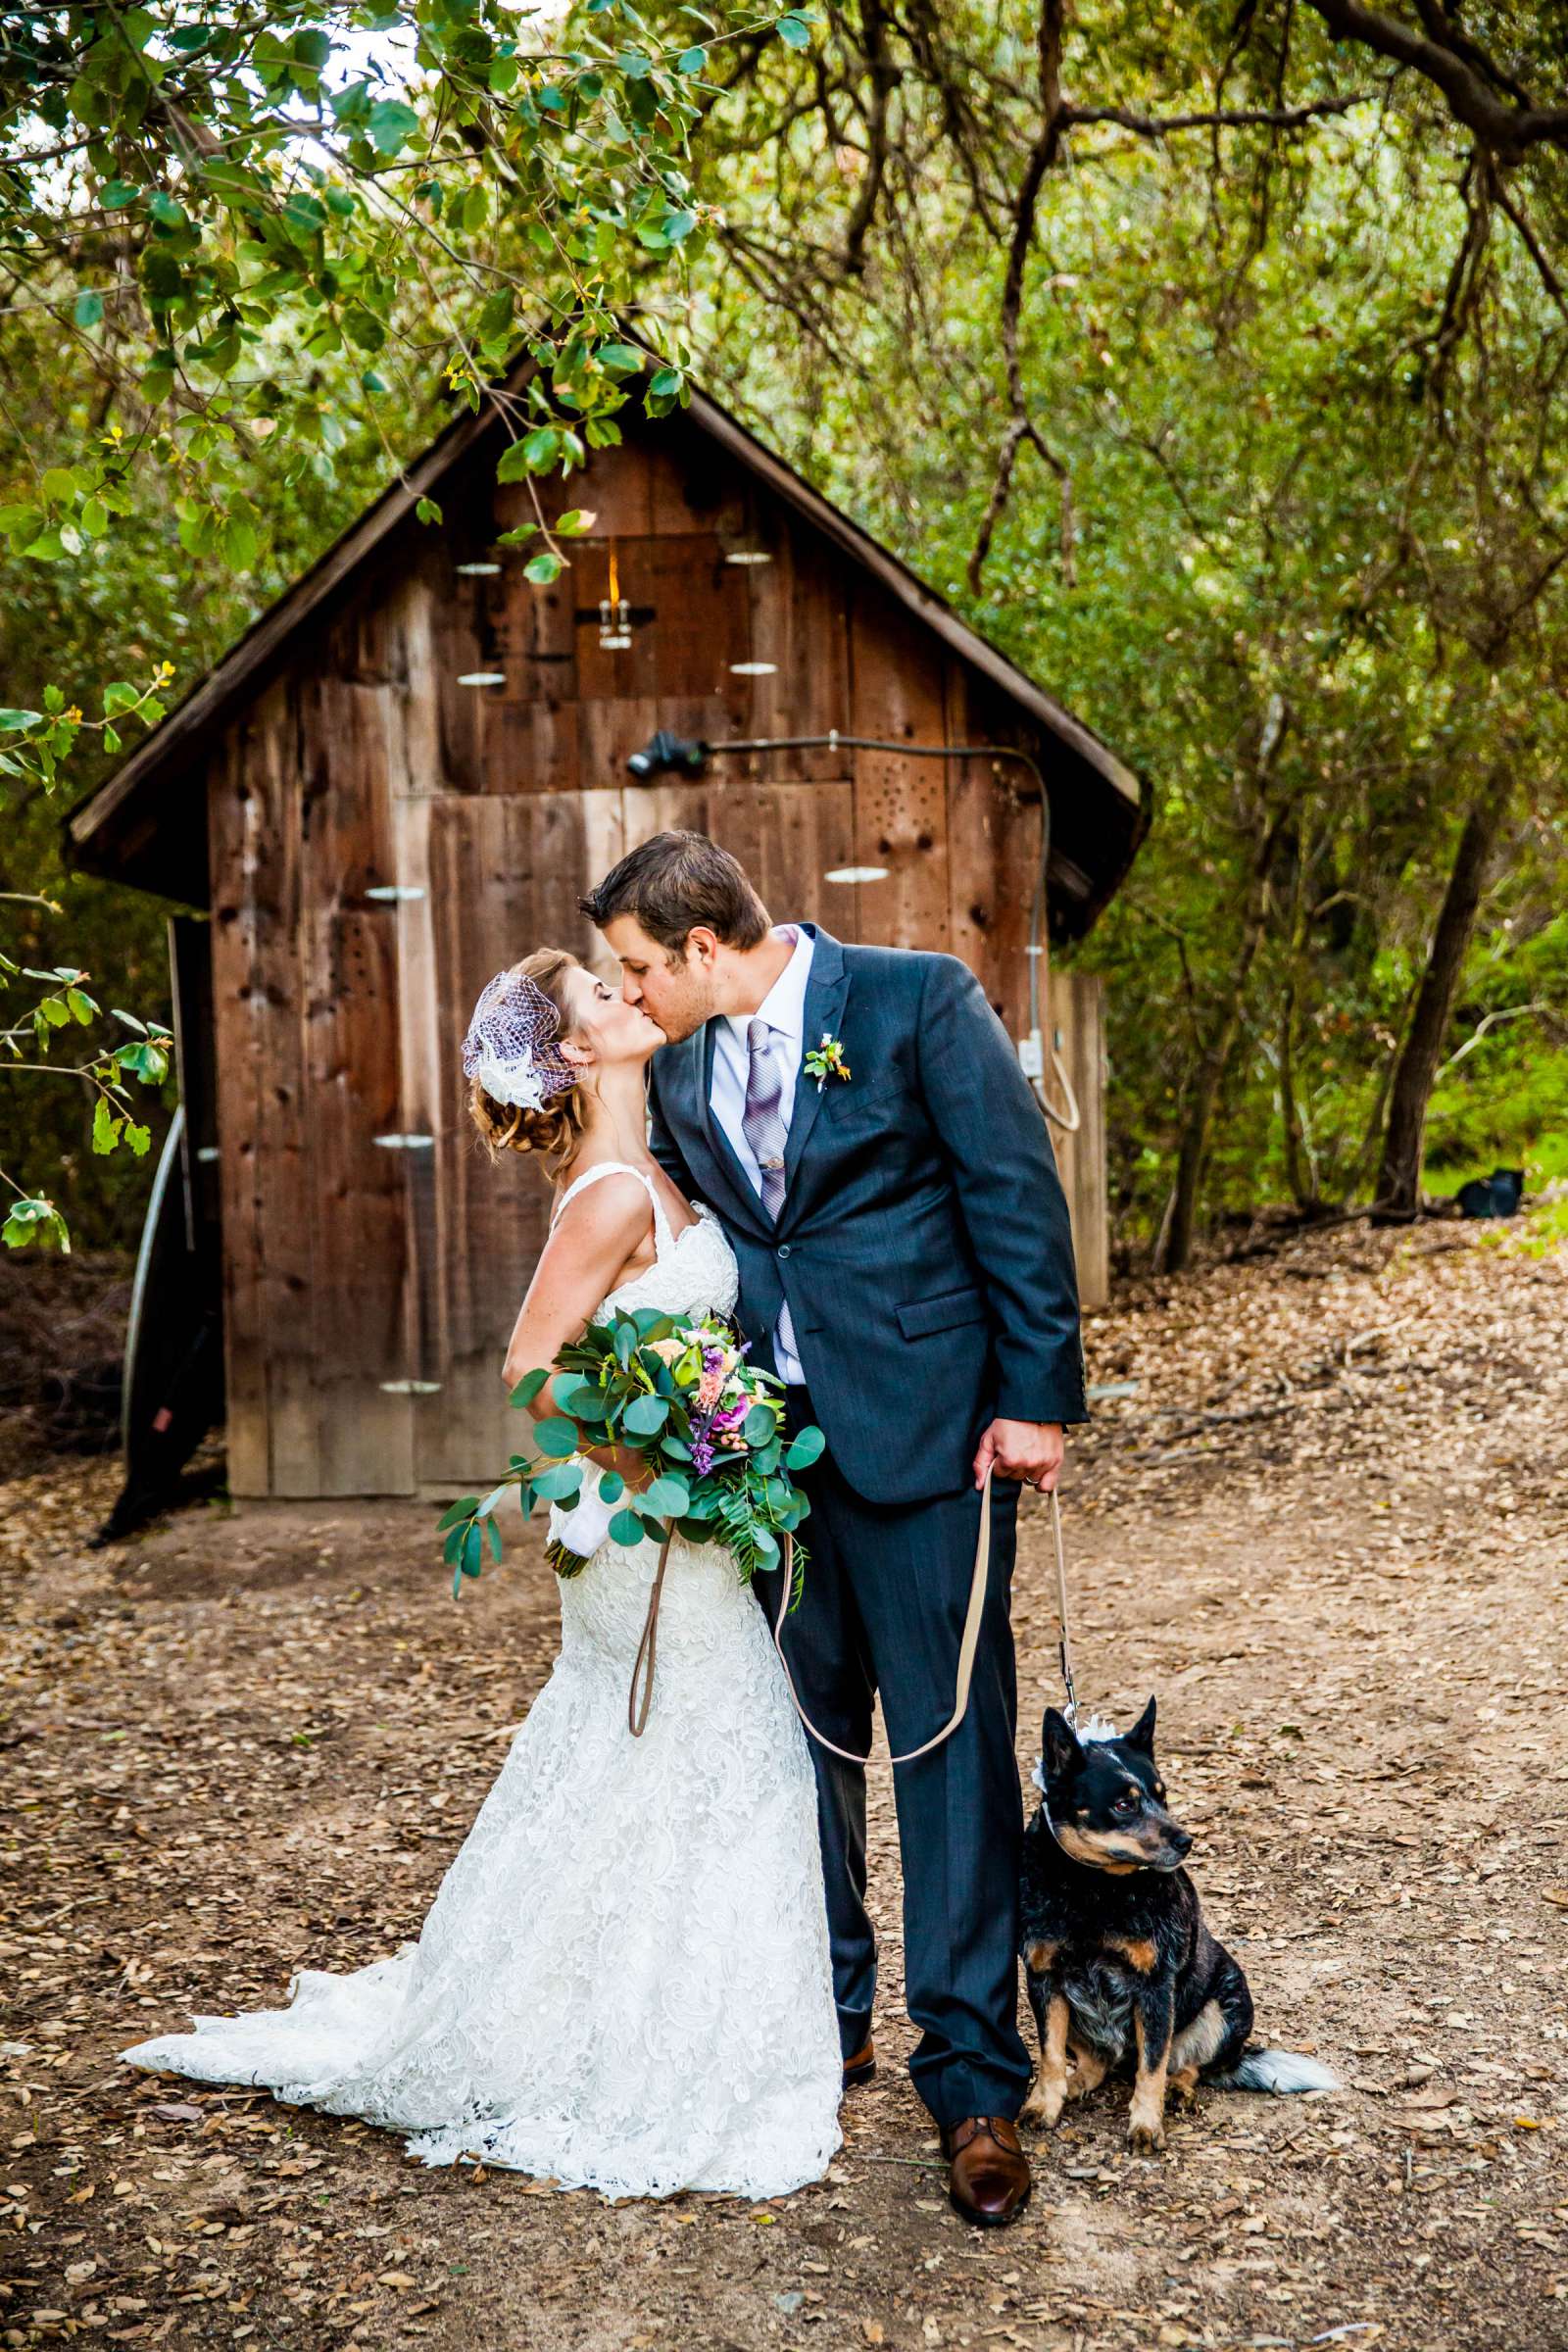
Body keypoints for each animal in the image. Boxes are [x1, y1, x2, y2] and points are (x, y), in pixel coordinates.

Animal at [1020, 1693, 1335, 2154]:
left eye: (1162, 1795)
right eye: (1124, 1803)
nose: (1186, 1841)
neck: (1092, 1890)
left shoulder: (1155, 1986)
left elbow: (1152, 2066)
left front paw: (1146, 2125)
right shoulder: (1044, 1978)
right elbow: (1050, 2054)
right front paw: (1044, 2104)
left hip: (1228, 2001)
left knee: (1188, 2064)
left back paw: (1179, 2089)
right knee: (1098, 2059)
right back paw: (1078, 2083)